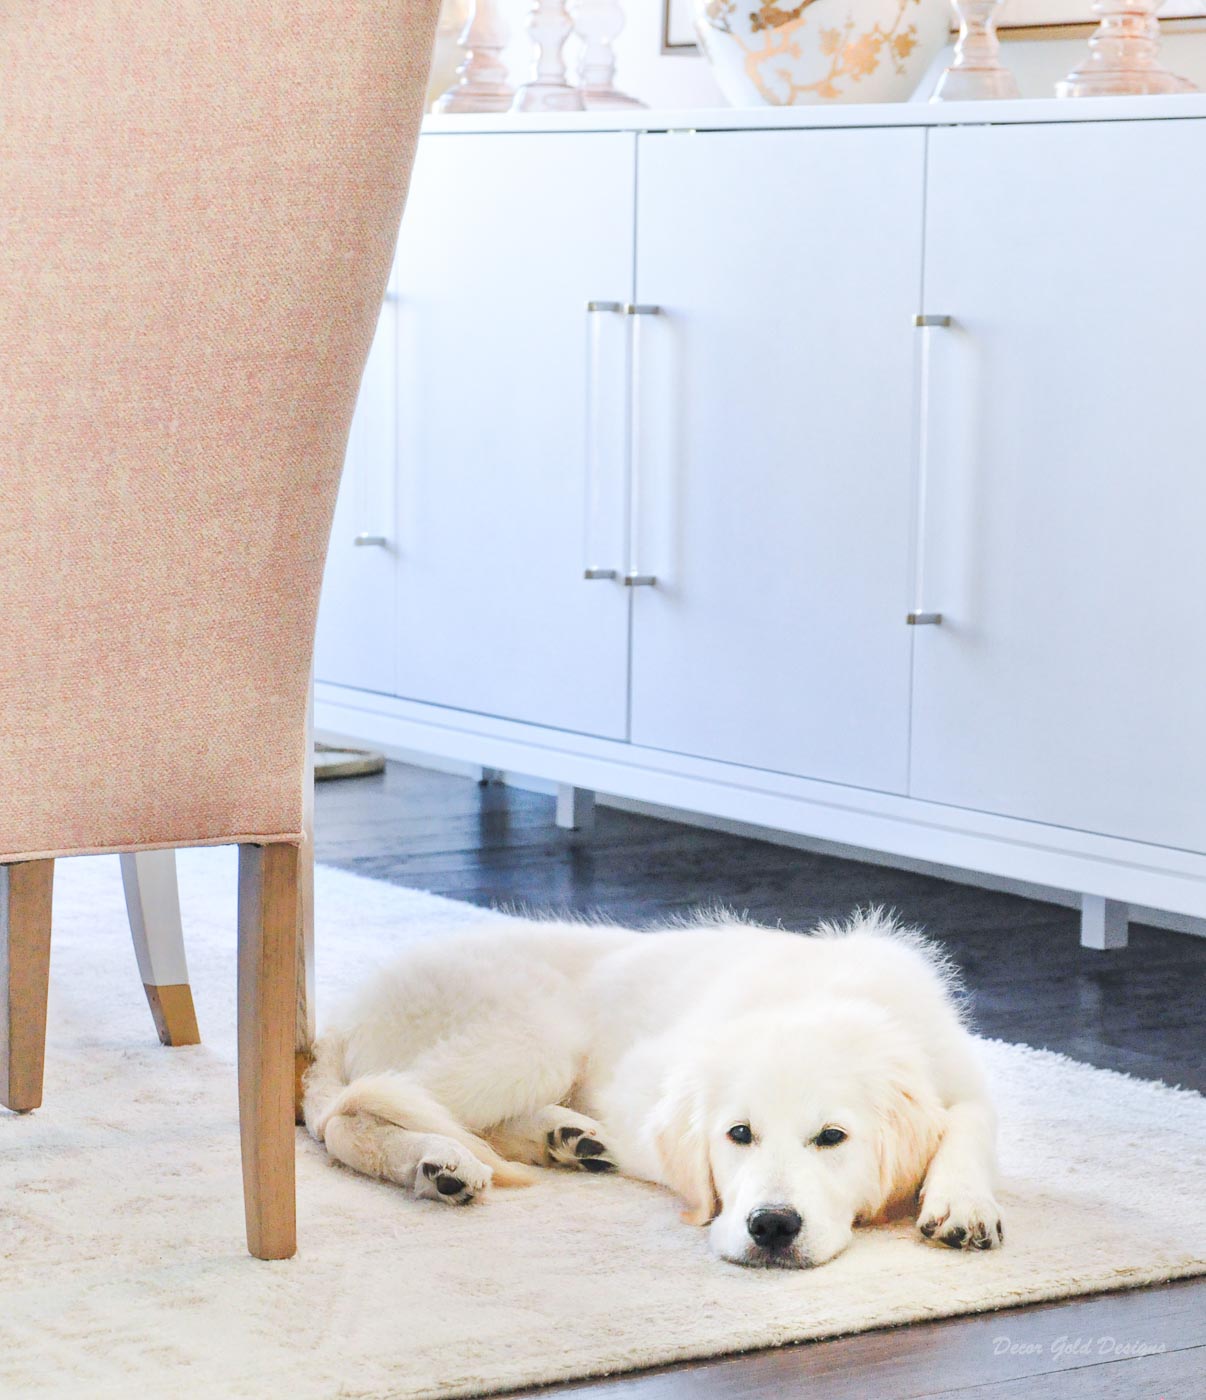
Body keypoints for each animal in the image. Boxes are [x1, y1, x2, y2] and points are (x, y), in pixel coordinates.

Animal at [305, 907, 1002, 1271]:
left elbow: (970, 1121)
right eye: (738, 1134)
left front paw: (964, 1204)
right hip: (535, 1036)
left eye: (833, 1138)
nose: (771, 1227)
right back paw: (438, 1163)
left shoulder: (958, 1070)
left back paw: (567, 1138)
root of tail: (345, 1017)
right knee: (347, 1112)